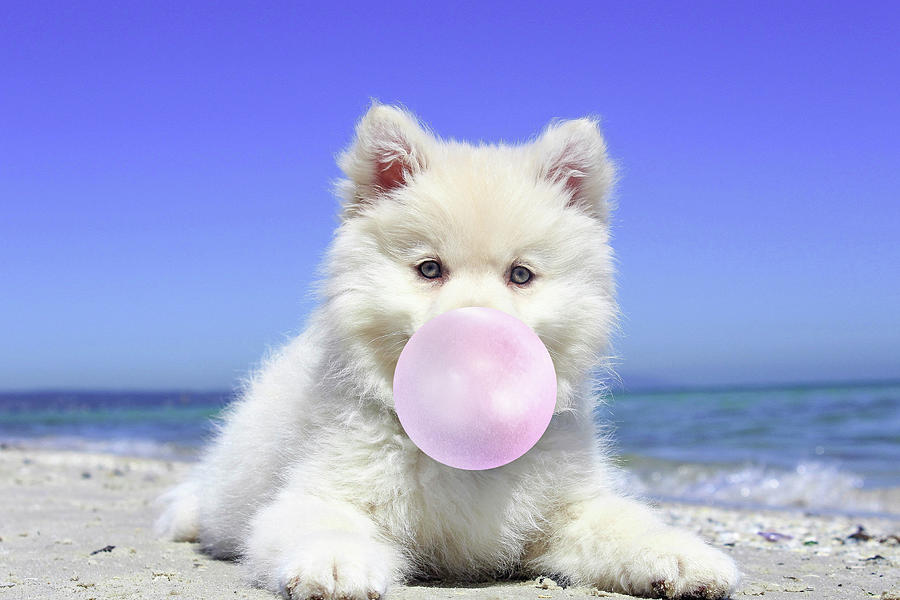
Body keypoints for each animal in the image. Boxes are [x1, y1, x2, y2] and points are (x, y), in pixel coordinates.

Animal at [156, 104, 740, 600]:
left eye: (520, 275)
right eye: (430, 269)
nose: (476, 338)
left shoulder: (569, 510)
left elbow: (627, 525)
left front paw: (682, 557)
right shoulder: (320, 491)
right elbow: (322, 522)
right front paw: (336, 564)